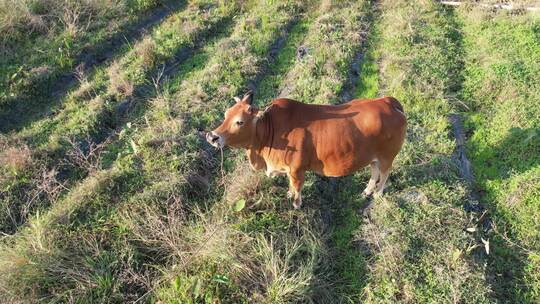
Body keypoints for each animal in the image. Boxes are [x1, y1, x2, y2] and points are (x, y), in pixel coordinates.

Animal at [207, 91, 404, 209]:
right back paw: (367, 191)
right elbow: (290, 185)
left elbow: (297, 188)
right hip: (373, 157)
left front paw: (296, 204)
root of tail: (388, 102)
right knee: (374, 171)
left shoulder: (297, 170)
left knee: (384, 174)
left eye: (240, 121)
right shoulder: (288, 170)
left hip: (387, 157)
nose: (212, 136)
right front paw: (288, 194)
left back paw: (377, 194)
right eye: (226, 114)